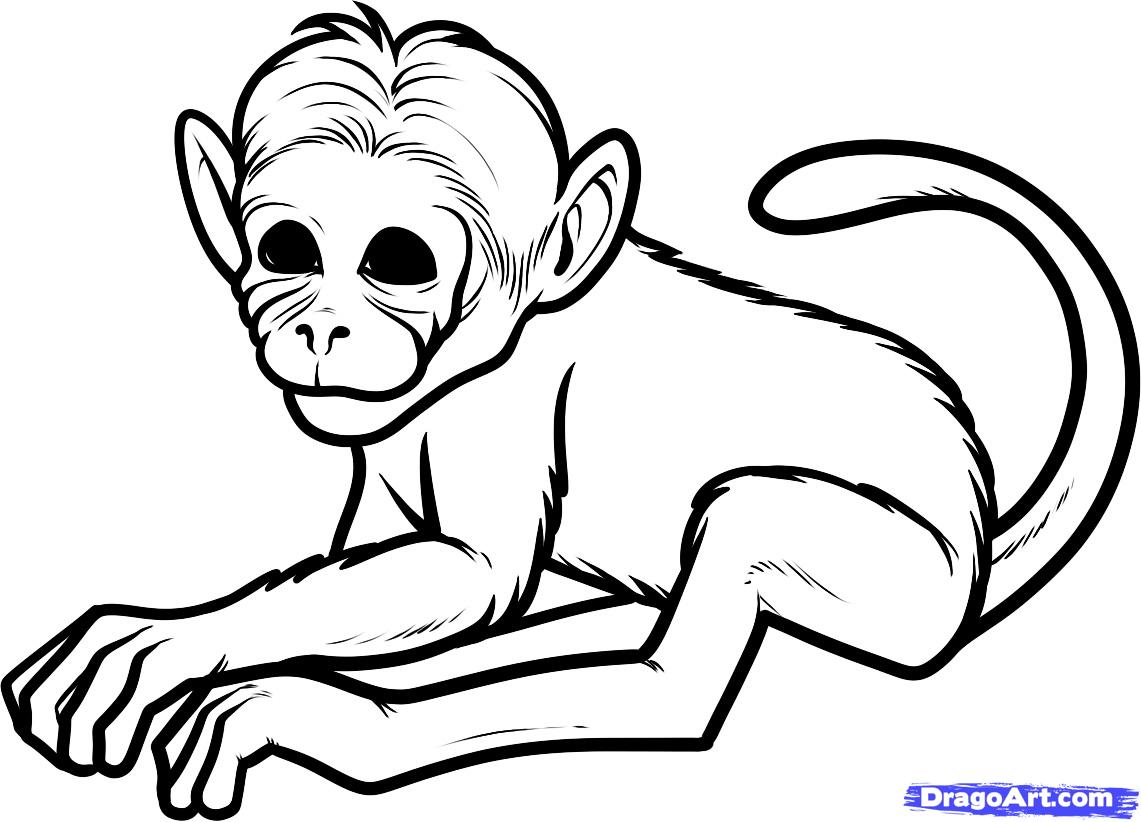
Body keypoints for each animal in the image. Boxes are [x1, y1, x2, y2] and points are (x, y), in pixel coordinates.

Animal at [3, 5, 1136, 819]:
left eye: (397, 262)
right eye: (287, 250)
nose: (323, 328)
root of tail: (978, 532)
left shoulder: (499, 409)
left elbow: (474, 575)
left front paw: (204, 652)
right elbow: (375, 570)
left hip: (903, 581)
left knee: (681, 658)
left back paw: (348, 724)